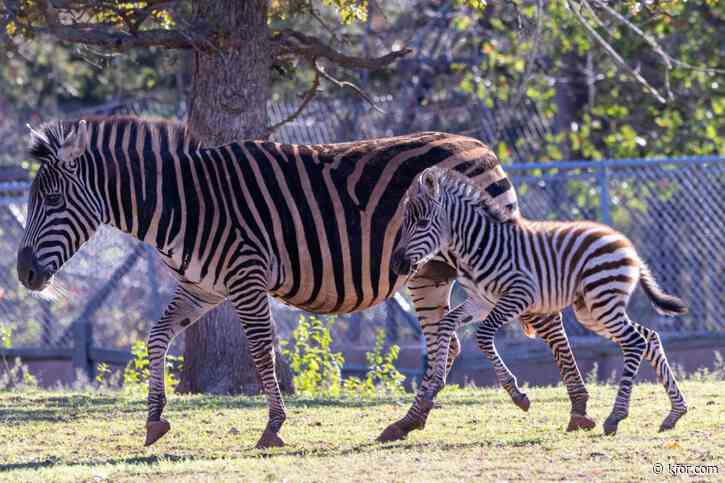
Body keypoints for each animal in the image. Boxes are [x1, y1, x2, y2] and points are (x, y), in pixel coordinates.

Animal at [17, 115, 584, 448]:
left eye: (52, 200)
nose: (23, 273)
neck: (183, 204)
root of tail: (478, 144)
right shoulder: (201, 287)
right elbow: (155, 338)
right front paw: (155, 419)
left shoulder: (246, 278)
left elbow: (262, 352)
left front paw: (272, 427)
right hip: (435, 268)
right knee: (449, 339)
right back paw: (410, 422)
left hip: (471, 256)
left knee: (540, 320)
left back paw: (577, 409)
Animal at [394, 168, 688, 436]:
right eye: (405, 222)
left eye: (422, 223)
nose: (398, 264)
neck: (477, 245)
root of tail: (626, 244)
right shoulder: (481, 301)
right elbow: (445, 324)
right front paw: (434, 385)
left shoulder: (519, 294)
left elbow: (483, 335)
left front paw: (517, 395)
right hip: (592, 310)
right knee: (649, 337)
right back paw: (675, 413)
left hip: (601, 300)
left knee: (635, 342)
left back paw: (616, 416)